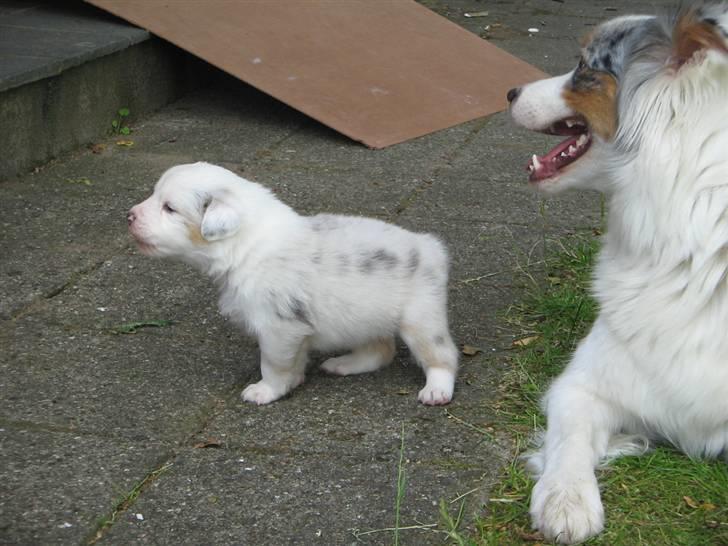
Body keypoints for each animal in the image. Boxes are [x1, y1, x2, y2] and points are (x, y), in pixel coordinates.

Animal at [125, 162, 456, 404]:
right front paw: (292, 381)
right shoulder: (294, 330)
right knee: (380, 349)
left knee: (442, 356)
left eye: (170, 208)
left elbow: (273, 364)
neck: (246, 245)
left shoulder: (278, 327)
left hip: (421, 319)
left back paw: (437, 390)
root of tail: (430, 247)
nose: (129, 216)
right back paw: (344, 364)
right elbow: (294, 361)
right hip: (364, 315)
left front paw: (265, 391)